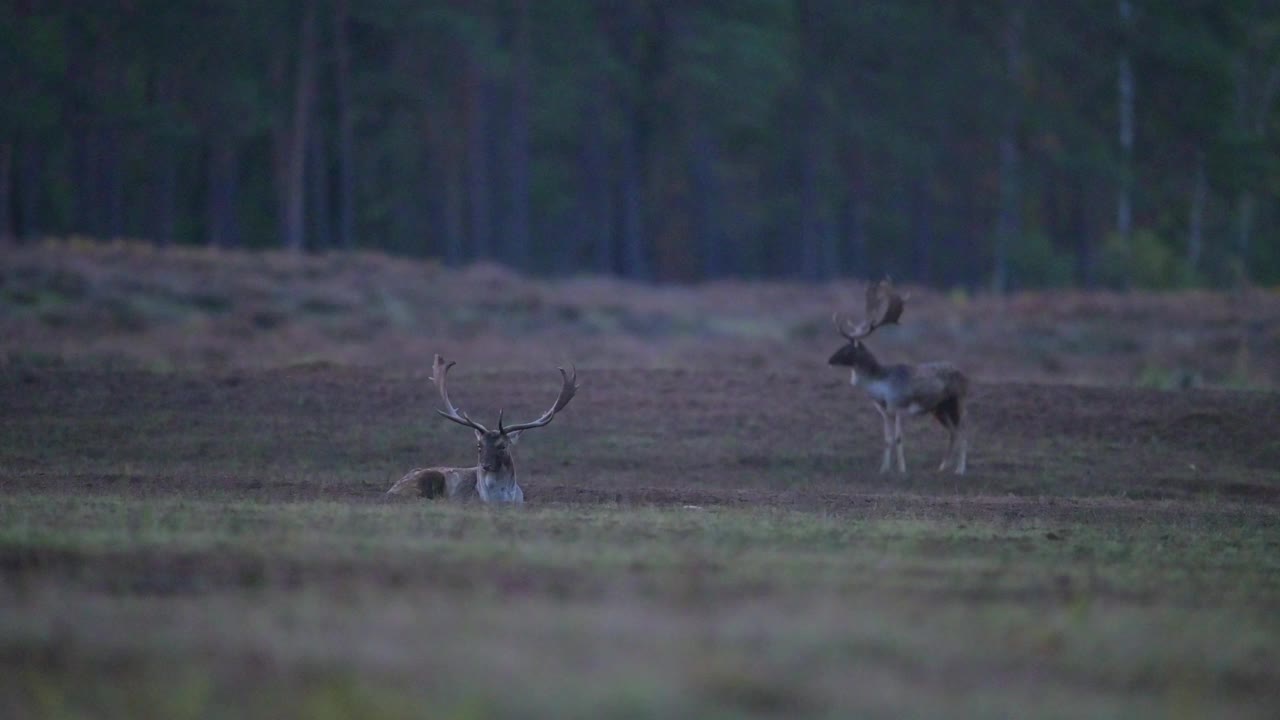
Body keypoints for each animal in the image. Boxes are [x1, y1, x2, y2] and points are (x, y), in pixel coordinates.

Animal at [381, 353, 578, 502]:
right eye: (479, 445)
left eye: (503, 446)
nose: (485, 466)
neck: (500, 499)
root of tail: (391, 489)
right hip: (426, 479)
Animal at [829, 279, 967, 471]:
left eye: (847, 348)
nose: (830, 359)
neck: (880, 388)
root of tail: (965, 377)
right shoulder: (884, 412)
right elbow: (887, 440)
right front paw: (884, 469)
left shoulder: (899, 406)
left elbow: (899, 438)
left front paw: (902, 470)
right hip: (939, 408)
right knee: (953, 432)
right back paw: (942, 467)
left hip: (957, 402)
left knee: (963, 431)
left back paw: (960, 470)